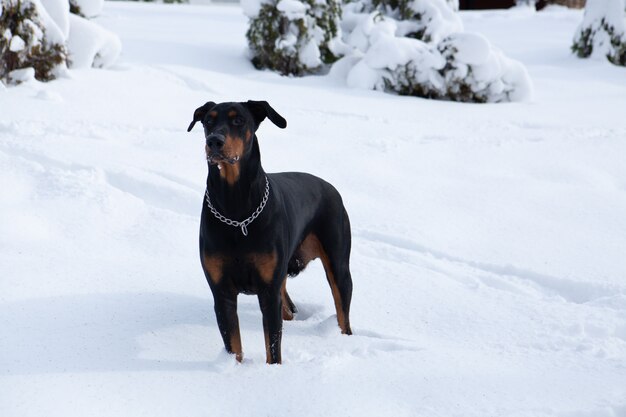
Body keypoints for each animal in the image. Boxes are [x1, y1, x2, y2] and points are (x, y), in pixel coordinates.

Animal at [185, 99, 352, 362]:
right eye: (208, 121)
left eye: (238, 120)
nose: (214, 141)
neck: (236, 209)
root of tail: (332, 188)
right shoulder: (222, 291)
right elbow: (234, 345)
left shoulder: (268, 291)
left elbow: (273, 347)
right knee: (289, 308)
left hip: (338, 263)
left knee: (343, 311)